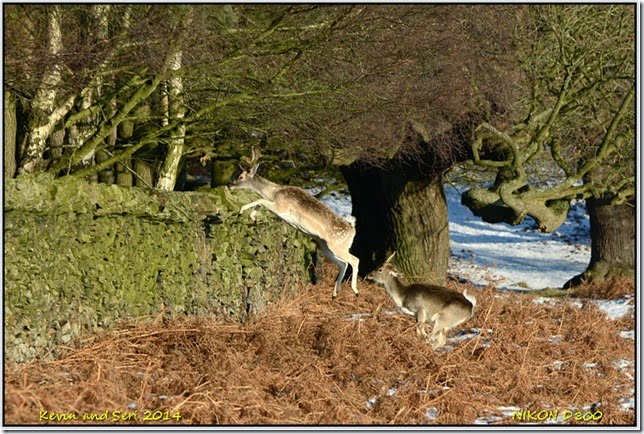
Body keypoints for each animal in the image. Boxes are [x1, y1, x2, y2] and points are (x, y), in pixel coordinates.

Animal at [228, 146, 360, 298]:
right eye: (236, 174)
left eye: (240, 177)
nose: (230, 186)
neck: (274, 192)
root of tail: (352, 228)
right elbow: (260, 202)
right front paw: (253, 217)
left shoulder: (282, 207)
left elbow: (260, 200)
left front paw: (241, 211)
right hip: (325, 247)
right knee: (343, 264)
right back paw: (334, 293)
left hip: (337, 245)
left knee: (354, 260)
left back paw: (355, 291)